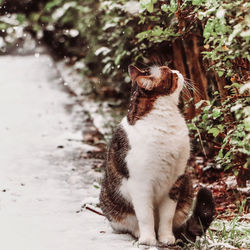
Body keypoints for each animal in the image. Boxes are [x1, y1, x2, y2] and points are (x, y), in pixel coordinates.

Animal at [99, 64, 215, 246]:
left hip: (187, 185)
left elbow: (167, 216)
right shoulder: (140, 184)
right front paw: (148, 239)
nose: (178, 71)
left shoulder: (175, 181)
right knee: (131, 223)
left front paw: (166, 237)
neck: (165, 119)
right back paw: (139, 233)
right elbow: (145, 216)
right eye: (171, 74)